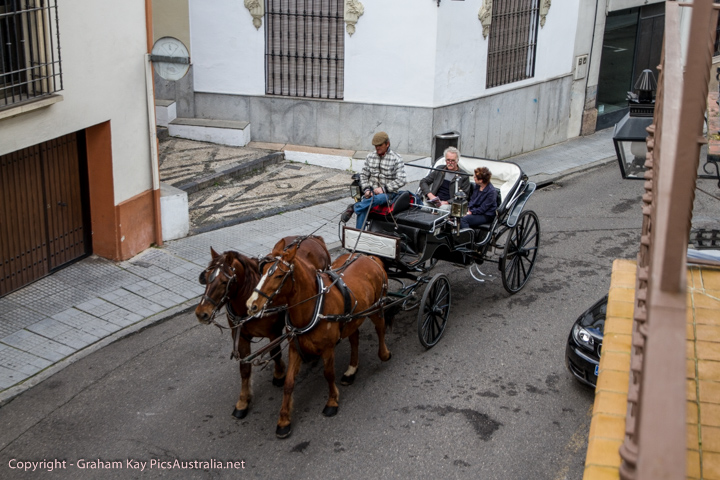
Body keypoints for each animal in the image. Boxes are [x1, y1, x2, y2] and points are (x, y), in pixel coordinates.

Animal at [197, 236, 332, 420]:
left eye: (225, 281)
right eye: (206, 277)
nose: (201, 313)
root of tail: (313, 238)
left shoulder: (273, 332)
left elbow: (275, 353)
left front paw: (279, 374)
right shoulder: (240, 335)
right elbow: (245, 368)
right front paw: (243, 401)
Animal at [248, 251, 394, 438]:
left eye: (279, 275)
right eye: (262, 271)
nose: (251, 304)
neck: (314, 307)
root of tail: (370, 257)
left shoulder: (328, 348)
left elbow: (329, 374)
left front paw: (332, 402)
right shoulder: (295, 348)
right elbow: (288, 383)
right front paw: (284, 420)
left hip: (376, 307)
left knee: (380, 328)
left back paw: (384, 354)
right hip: (353, 318)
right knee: (355, 338)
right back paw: (351, 369)